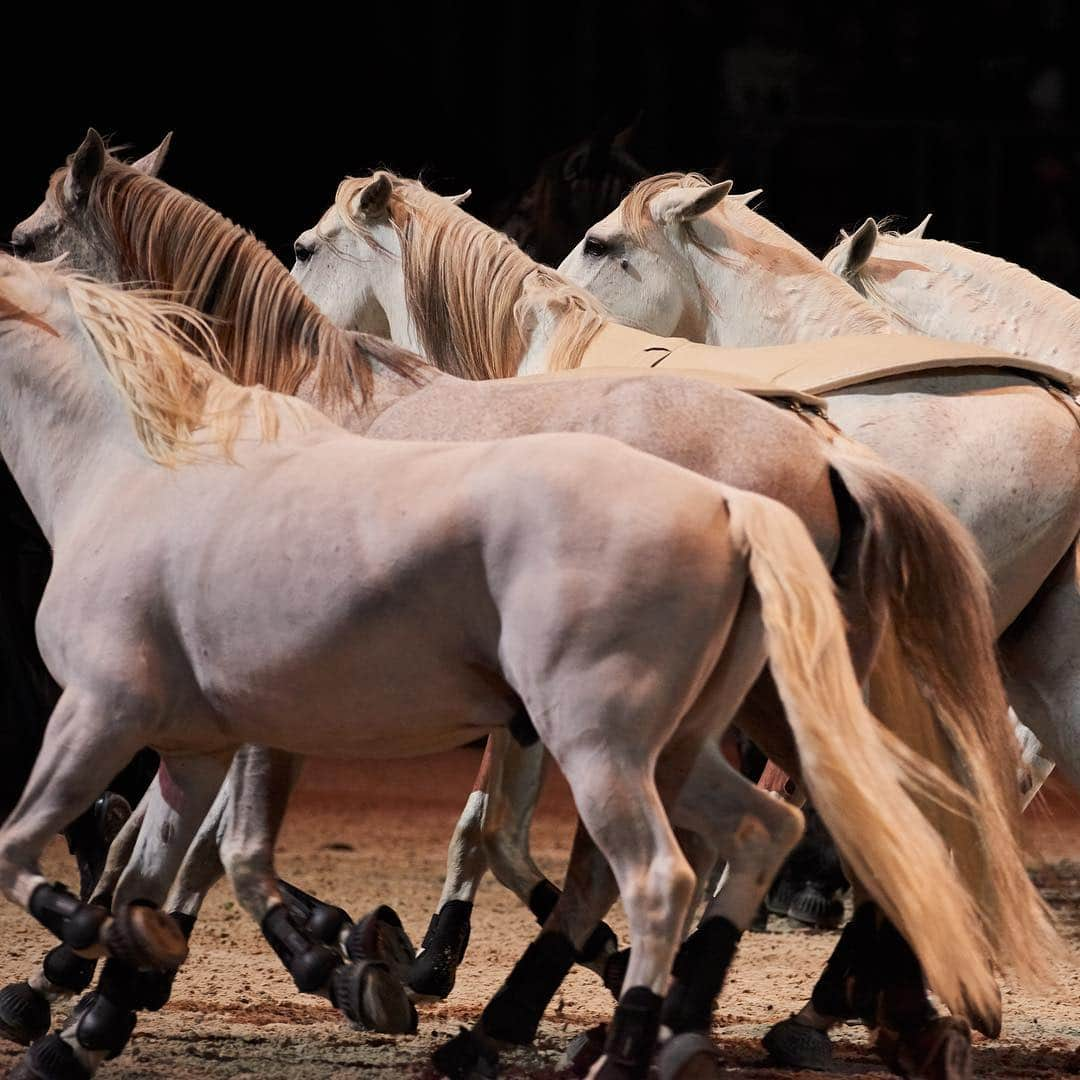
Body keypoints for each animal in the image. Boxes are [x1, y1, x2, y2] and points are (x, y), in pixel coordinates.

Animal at [0, 254, 972, 1080]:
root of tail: (766, 485)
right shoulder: (217, 731)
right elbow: (179, 852)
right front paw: (108, 988)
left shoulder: (132, 711)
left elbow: (137, 847)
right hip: (680, 740)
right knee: (773, 831)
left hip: (615, 740)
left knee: (673, 866)